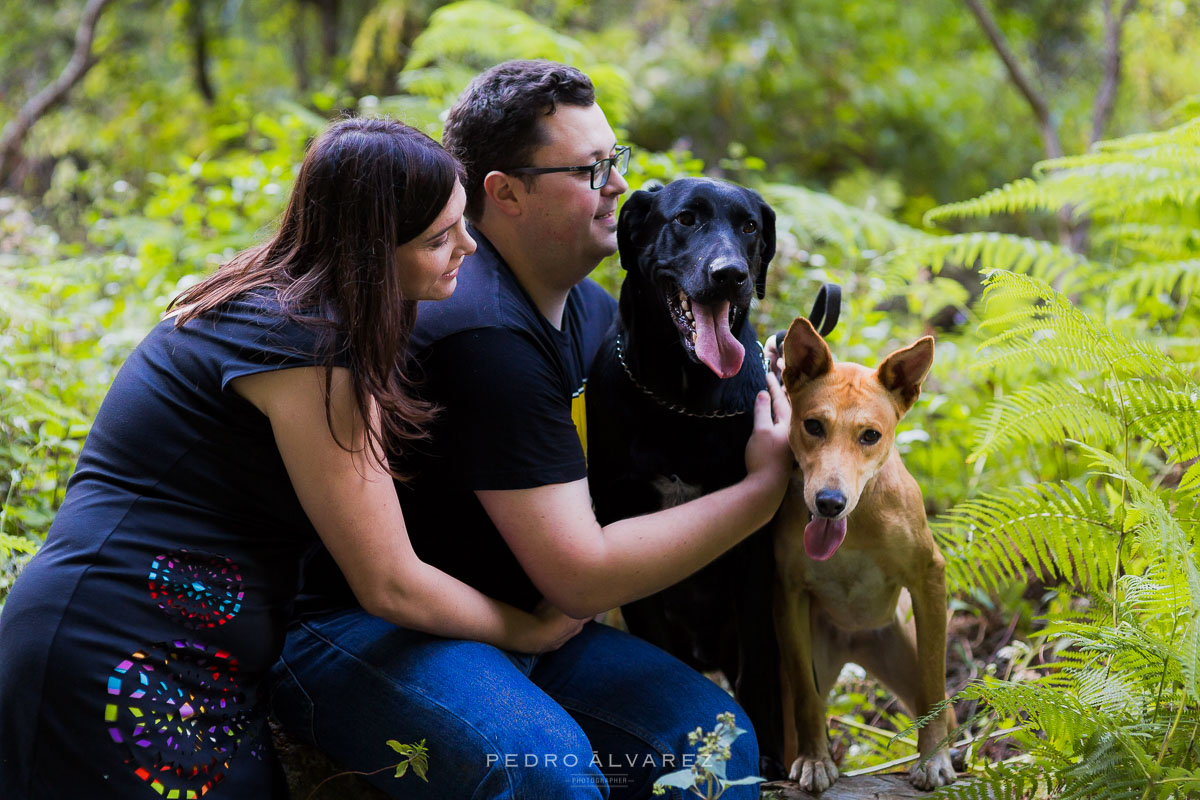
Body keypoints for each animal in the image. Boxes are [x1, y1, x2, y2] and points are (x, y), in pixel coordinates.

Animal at [588, 176, 787, 777]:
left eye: (749, 226)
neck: (680, 398)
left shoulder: (753, 553)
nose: (731, 275)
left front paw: (770, 753)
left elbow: (759, 664)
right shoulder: (622, 529)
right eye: (686, 219)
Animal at [777, 319, 955, 796]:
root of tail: (853, 643)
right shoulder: (789, 595)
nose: (829, 502)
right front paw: (816, 759)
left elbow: (932, 682)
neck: (854, 525)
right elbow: (806, 695)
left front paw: (932, 758)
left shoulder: (929, 577)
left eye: (870, 435)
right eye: (813, 425)